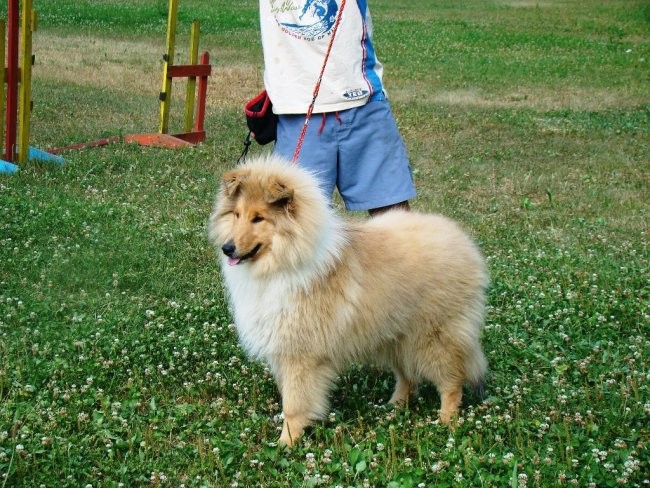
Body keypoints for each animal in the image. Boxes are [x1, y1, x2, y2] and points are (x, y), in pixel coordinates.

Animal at [208, 153, 486, 446]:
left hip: (433, 337)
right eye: (237, 214)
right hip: (397, 336)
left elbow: (294, 403)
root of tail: (462, 241)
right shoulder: (284, 348)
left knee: (451, 381)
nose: (227, 248)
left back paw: (446, 422)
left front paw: (287, 442)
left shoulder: (300, 353)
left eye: (258, 218)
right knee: (408, 377)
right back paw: (393, 407)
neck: (285, 259)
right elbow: (289, 396)